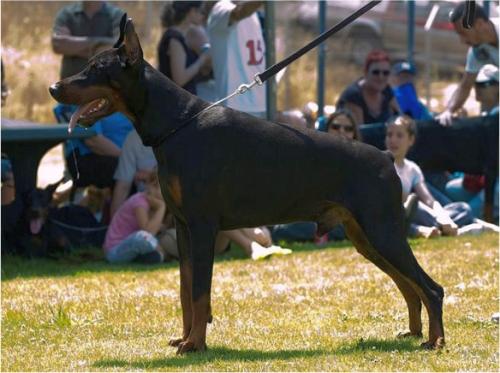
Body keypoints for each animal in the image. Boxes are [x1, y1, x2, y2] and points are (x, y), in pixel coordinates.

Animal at [47, 16, 446, 354]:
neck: (176, 124)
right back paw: (413, 333)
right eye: (86, 64)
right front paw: (185, 337)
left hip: (382, 229)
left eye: (96, 69)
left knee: (430, 287)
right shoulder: (182, 226)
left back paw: (434, 340)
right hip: (365, 236)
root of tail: (386, 157)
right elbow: (185, 288)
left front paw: (195, 344)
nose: (53, 87)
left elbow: (199, 292)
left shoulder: (203, 225)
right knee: (409, 286)